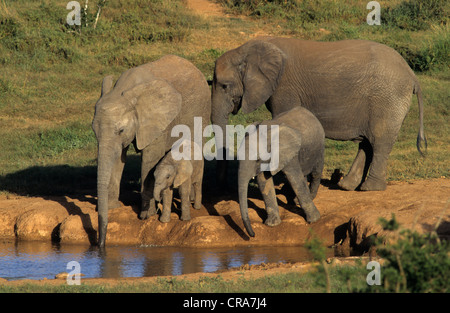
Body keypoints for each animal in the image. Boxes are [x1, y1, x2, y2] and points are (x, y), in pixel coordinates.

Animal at [92, 54, 211, 247]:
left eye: (121, 130)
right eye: (93, 131)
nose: (100, 245)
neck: (123, 91)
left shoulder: (156, 122)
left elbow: (149, 160)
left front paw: (146, 215)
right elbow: (118, 157)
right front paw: (112, 207)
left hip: (201, 110)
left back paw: (192, 201)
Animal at [213, 37, 428, 193]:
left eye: (224, 86)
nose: (223, 187)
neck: (247, 49)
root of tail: (412, 75)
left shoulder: (284, 88)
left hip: (387, 98)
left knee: (379, 141)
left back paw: (369, 188)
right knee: (368, 142)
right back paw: (346, 186)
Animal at [239, 106, 324, 236]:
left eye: (257, 159)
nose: (253, 235)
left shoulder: (289, 153)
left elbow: (295, 179)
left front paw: (314, 220)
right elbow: (264, 182)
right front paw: (272, 224)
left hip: (319, 146)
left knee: (316, 172)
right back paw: (295, 201)